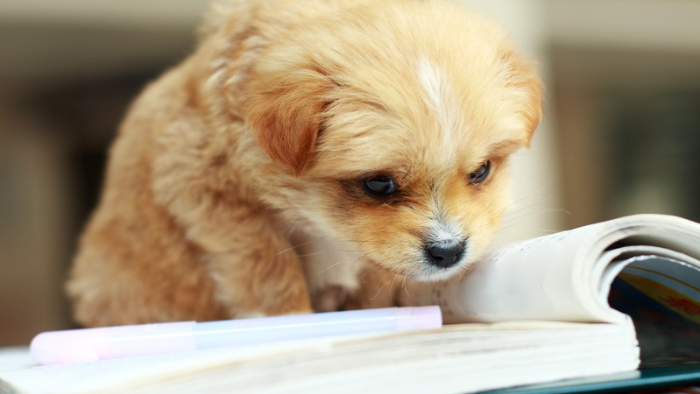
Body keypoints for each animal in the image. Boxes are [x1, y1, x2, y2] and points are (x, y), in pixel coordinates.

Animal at [68, 0, 544, 326]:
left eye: (481, 171)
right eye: (379, 184)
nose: (448, 252)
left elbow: (375, 280)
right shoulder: (207, 191)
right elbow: (266, 268)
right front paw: (290, 320)